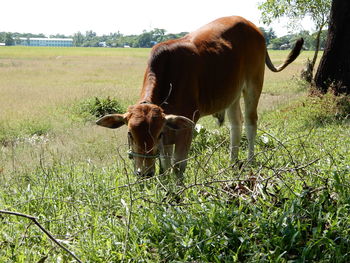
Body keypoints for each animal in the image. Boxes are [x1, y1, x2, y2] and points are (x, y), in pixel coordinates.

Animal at [96, 16, 304, 179]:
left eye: (157, 134)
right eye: (130, 133)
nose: (144, 173)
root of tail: (255, 29)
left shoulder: (186, 127)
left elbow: (178, 167)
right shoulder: (169, 130)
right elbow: (166, 165)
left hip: (253, 84)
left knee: (251, 122)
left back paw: (250, 161)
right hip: (232, 94)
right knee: (236, 124)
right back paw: (232, 163)